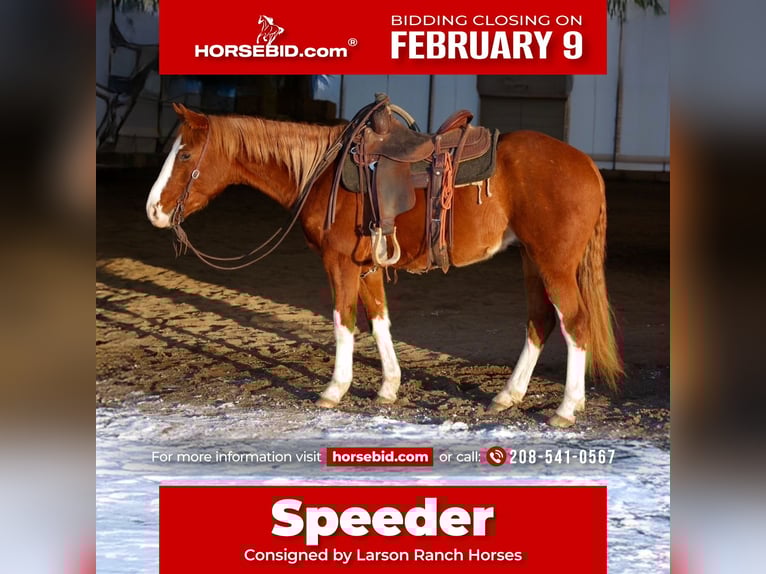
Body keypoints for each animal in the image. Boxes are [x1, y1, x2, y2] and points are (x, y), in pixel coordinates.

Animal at [145, 102, 623, 427]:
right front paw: (389, 387)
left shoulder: (339, 263)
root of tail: (587, 164)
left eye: (184, 156)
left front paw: (334, 389)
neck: (323, 172)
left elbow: (343, 320)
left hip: (553, 264)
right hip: (530, 260)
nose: (153, 210)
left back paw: (566, 408)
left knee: (575, 322)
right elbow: (379, 321)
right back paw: (508, 395)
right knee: (540, 321)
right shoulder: (367, 266)